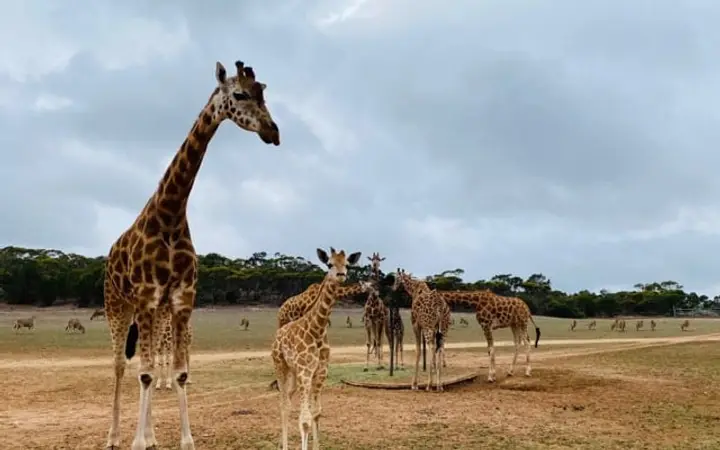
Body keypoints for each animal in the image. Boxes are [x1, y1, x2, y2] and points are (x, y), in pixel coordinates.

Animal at [102, 60, 280, 450]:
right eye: (239, 94)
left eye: (263, 92)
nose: (273, 132)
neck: (170, 214)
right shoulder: (146, 296)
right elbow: (145, 373)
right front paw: (136, 443)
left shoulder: (181, 297)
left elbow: (179, 372)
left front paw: (182, 440)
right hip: (117, 304)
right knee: (120, 365)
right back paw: (115, 436)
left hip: (154, 311)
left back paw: (151, 434)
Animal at [272, 248, 362, 450]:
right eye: (329, 264)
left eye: (347, 264)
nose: (341, 275)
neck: (317, 329)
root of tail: (278, 334)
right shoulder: (306, 371)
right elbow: (305, 420)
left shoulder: (320, 372)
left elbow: (316, 413)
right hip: (281, 365)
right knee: (283, 404)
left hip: (294, 372)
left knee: (288, 398)